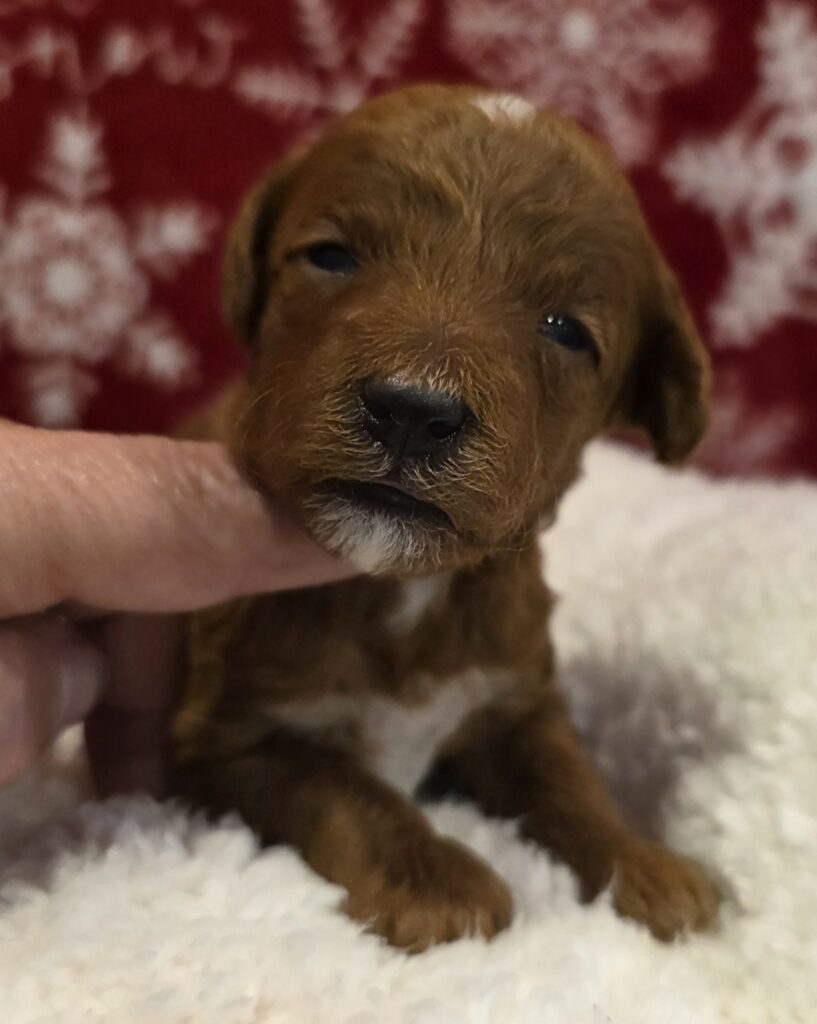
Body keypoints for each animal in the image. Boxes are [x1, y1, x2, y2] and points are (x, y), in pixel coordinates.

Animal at [174, 84, 719, 952]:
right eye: (331, 257)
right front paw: (436, 882)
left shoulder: (513, 697)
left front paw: (643, 865)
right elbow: (342, 787)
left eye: (566, 331)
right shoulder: (225, 736)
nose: (411, 411)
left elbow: (569, 781)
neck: (402, 589)